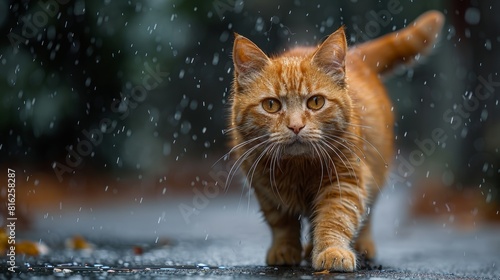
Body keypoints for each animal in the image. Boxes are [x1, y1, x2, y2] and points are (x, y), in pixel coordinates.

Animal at [229, 10, 444, 272]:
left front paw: (331, 250)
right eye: (271, 105)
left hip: (374, 174)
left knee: (366, 217)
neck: (298, 168)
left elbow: (335, 219)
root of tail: (356, 55)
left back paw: (359, 247)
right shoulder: (265, 189)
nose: (296, 126)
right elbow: (281, 223)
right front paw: (285, 249)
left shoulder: (345, 181)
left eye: (316, 102)